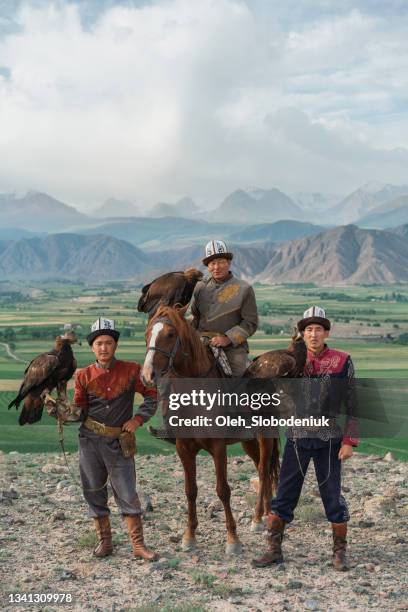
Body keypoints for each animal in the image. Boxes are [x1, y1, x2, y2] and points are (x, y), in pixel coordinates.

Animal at [141, 306, 280, 556]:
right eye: (148, 333)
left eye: (170, 334)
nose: (148, 375)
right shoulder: (183, 449)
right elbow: (190, 490)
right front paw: (189, 536)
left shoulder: (218, 448)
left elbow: (223, 490)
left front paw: (233, 540)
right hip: (249, 441)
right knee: (260, 468)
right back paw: (265, 513)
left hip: (266, 437)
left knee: (264, 471)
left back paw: (257, 518)